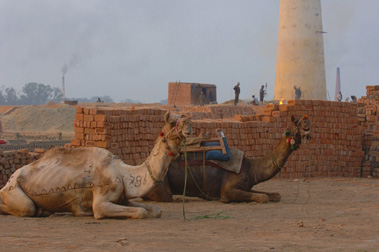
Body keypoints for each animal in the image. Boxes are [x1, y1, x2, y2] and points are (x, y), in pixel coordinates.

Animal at [0, 111, 193, 219]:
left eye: (183, 117)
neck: (123, 173)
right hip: (13, 189)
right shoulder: (101, 201)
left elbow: (156, 209)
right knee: (27, 208)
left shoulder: (124, 198)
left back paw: (47, 211)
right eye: (172, 121)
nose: (189, 124)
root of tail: (11, 178)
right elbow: (140, 212)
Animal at [147, 115, 310, 204]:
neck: (251, 167)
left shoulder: (247, 186)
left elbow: (275, 195)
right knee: (166, 196)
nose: (308, 126)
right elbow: (262, 197)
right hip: (161, 184)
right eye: (297, 124)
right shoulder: (227, 191)